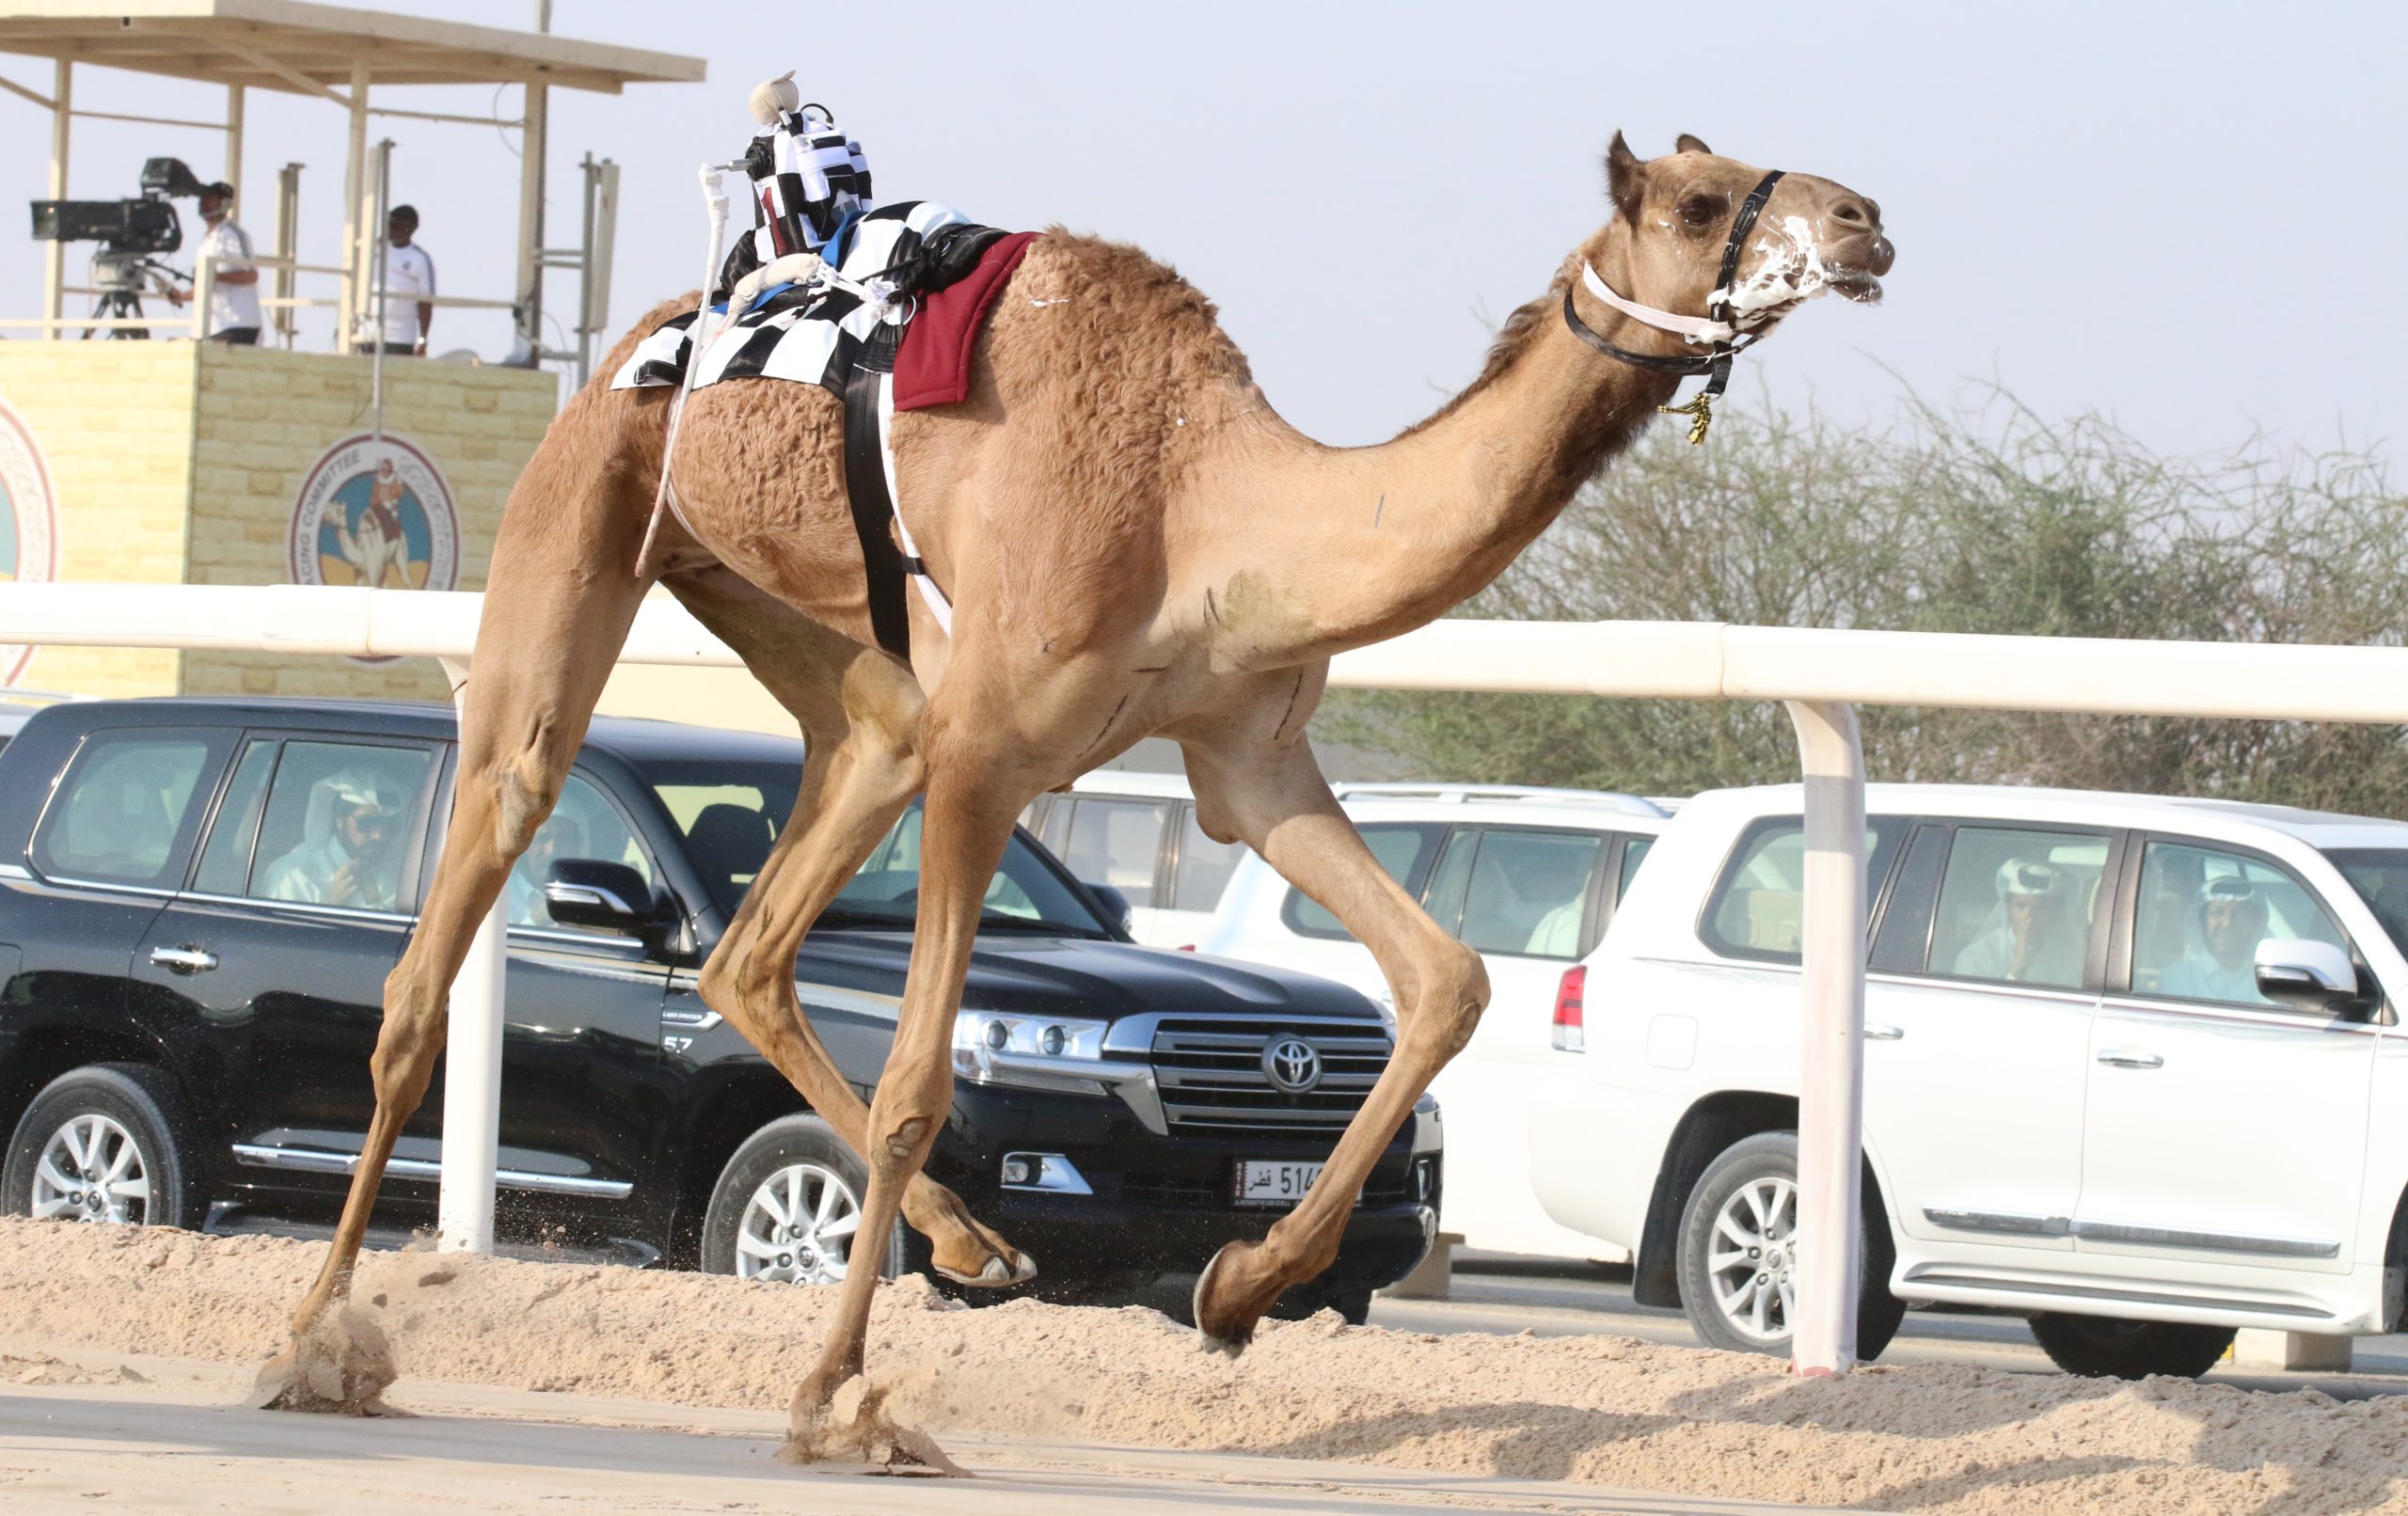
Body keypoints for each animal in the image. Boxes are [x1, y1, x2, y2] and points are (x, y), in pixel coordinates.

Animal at [268, 134, 1897, 1453]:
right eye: (1698, 201)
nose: (1867, 219)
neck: (1201, 502)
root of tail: (643, 341)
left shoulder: (1244, 756)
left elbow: (1447, 978)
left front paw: (1237, 1289)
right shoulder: (994, 753)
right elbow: (921, 1088)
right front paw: (834, 1399)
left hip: (826, 647)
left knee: (757, 927)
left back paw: (982, 1250)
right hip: (587, 521)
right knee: (469, 882)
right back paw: (312, 1343)